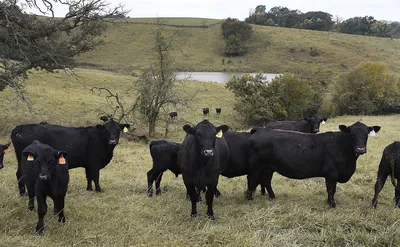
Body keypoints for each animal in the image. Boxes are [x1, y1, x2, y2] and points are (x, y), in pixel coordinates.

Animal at [247, 121, 382, 206]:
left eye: (366, 135)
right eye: (352, 134)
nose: (360, 149)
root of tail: (260, 129)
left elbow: (329, 189)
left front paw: (328, 202)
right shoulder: (331, 173)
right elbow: (332, 189)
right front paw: (332, 204)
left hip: (268, 168)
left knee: (266, 181)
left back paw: (272, 197)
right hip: (256, 167)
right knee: (252, 180)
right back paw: (249, 199)